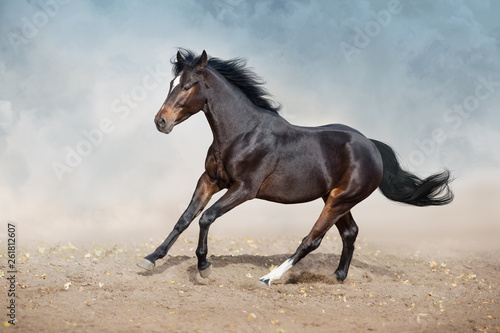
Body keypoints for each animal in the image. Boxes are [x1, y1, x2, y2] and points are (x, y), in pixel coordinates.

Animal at [138, 48, 454, 284]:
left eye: (187, 86)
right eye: (171, 84)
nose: (160, 121)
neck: (242, 133)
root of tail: (372, 146)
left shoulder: (244, 189)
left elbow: (206, 217)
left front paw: (204, 266)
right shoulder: (210, 180)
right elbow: (185, 218)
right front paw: (151, 258)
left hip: (340, 200)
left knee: (312, 239)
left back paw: (270, 278)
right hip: (335, 198)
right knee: (350, 233)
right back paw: (338, 276)